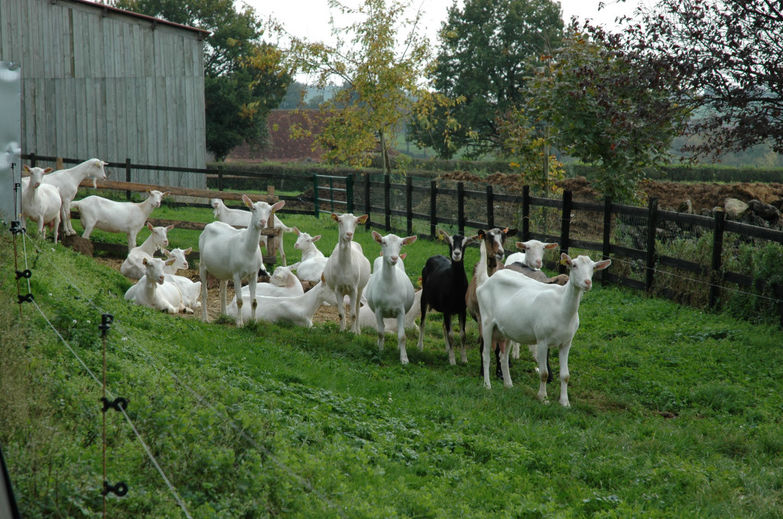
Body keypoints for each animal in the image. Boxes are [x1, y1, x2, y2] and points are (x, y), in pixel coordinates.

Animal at [199, 195, 288, 324]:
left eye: (270, 210)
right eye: (253, 208)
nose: (262, 222)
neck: (247, 249)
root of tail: (210, 225)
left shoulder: (254, 274)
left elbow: (254, 301)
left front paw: (254, 322)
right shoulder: (236, 274)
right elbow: (240, 301)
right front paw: (240, 323)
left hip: (224, 270)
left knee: (223, 290)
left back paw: (224, 315)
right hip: (202, 263)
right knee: (204, 292)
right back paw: (204, 318)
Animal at [364, 234, 420, 364]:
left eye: (401, 244)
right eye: (383, 242)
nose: (394, 258)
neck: (390, 287)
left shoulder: (401, 310)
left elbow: (402, 336)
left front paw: (404, 358)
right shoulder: (378, 310)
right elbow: (380, 332)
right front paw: (380, 351)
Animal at [478, 254, 612, 408]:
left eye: (593, 268)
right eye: (574, 265)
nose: (587, 282)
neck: (562, 307)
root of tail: (487, 280)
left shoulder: (566, 343)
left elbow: (565, 375)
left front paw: (565, 402)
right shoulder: (542, 340)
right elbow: (544, 373)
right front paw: (543, 398)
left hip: (506, 330)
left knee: (503, 356)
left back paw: (508, 384)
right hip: (486, 321)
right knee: (486, 354)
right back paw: (487, 385)